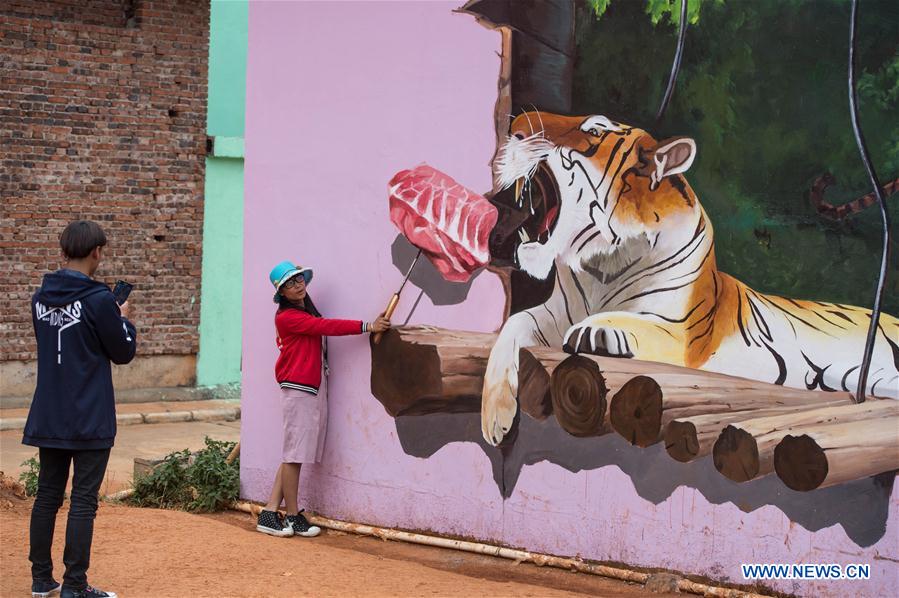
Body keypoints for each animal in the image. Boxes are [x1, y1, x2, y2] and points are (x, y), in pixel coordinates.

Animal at [486, 112, 899, 448]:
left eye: (594, 130)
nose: (514, 125)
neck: (601, 264)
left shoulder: (680, 332)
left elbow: (636, 322)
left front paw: (597, 330)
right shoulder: (552, 313)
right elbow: (512, 326)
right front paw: (495, 422)